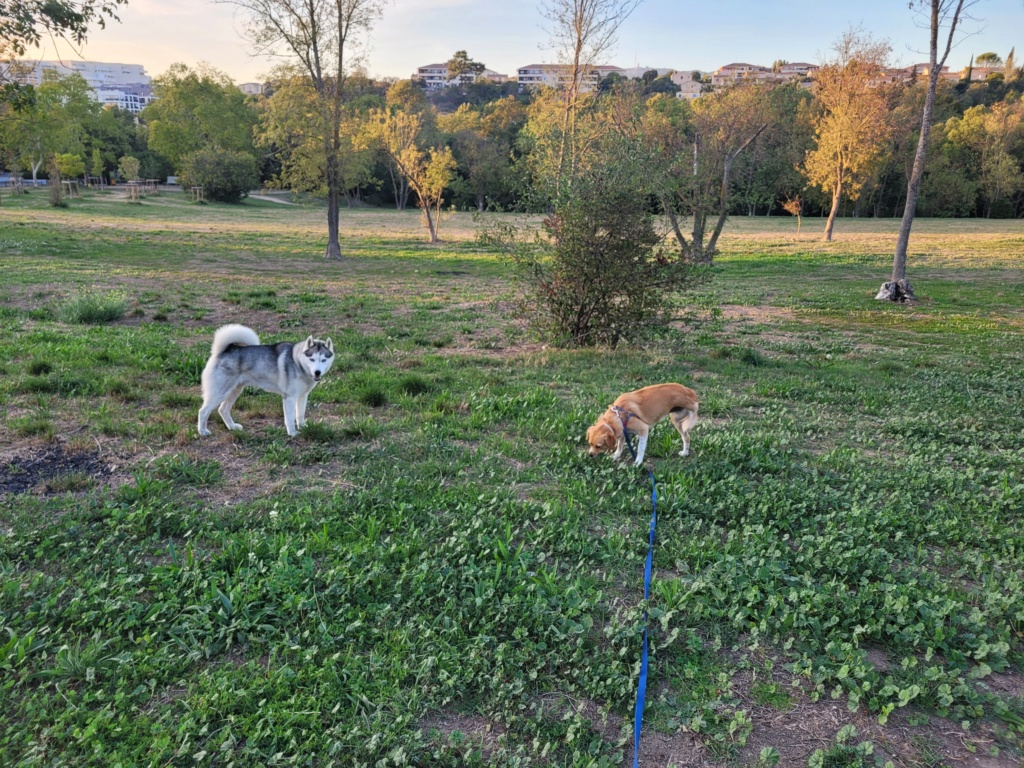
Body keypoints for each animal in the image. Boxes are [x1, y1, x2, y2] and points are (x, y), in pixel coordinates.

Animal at [194, 325, 331, 438]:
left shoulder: (302, 396)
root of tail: (224, 350)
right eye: (312, 359)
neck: (297, 362)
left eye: (323, 360)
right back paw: (203, 431)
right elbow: (290, 418)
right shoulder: (289, 398)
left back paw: (232, 427)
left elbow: (300, 415)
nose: (317, 372)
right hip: (219, 393)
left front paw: (303, 428)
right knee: (203, 411)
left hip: (235, 391)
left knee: (223, 410)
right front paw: (292, 433)